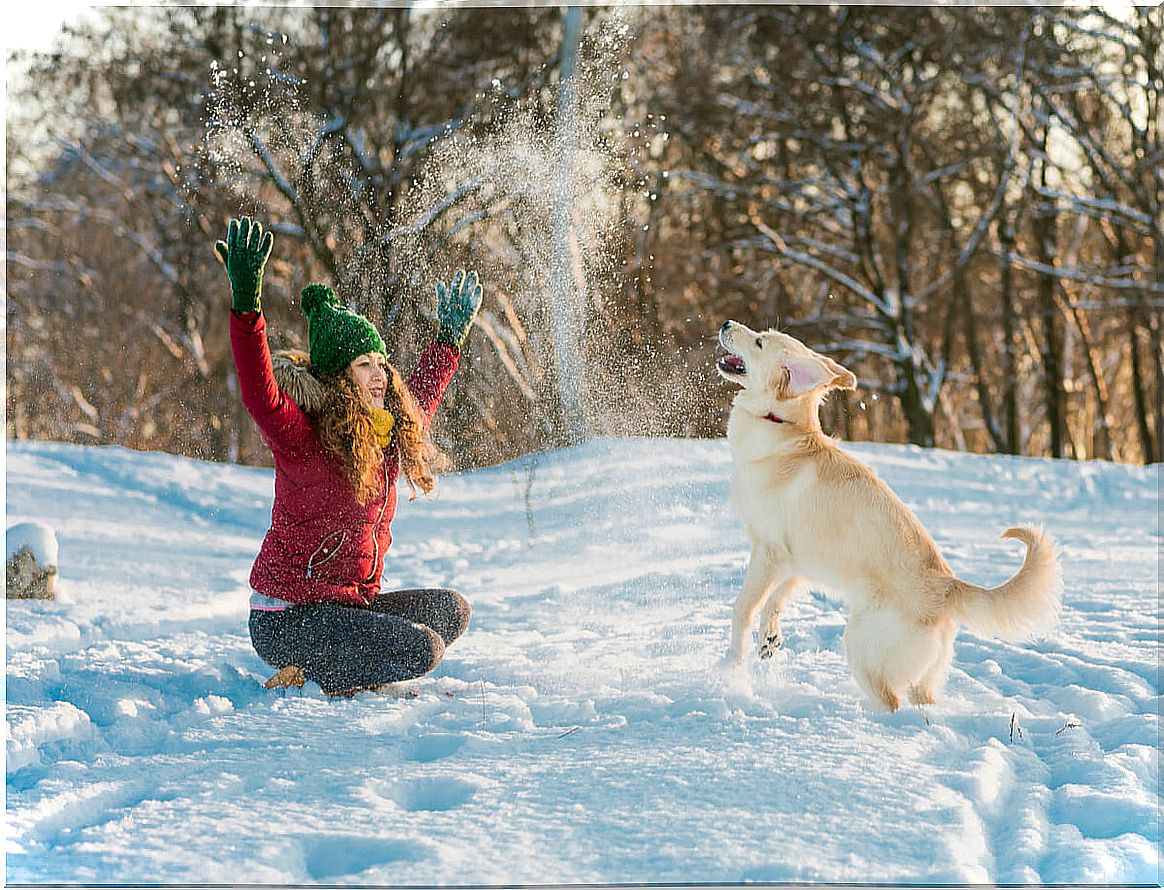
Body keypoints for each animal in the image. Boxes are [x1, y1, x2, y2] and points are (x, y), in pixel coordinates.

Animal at [712, 318, 1061, 707]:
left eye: (759, 342)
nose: (726, 323)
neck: (783, 427)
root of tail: (947, 588)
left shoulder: (768, 552)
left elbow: (743, 608)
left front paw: (731, 666)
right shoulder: (797, 560)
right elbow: (776, 599)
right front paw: (768, 639)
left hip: (861, 645)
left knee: (890, 703)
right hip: (922, 678)